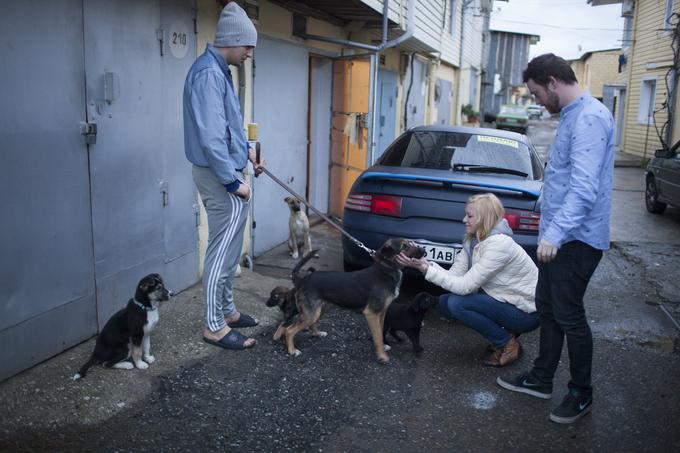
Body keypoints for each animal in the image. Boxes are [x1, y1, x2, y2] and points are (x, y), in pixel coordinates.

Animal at [278, 238, 422, 362]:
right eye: (404, 246)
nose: (424, 250)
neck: (386, 269)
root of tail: (302, 280)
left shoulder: (382, 313)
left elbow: (381, 332)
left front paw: (384, 347)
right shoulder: (372, 313)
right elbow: (377, 336)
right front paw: (382, 356)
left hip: (319, 310)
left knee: (309, 324)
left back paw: (318, 334)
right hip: (311, 313)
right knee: (289, 330)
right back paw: (292, 350)